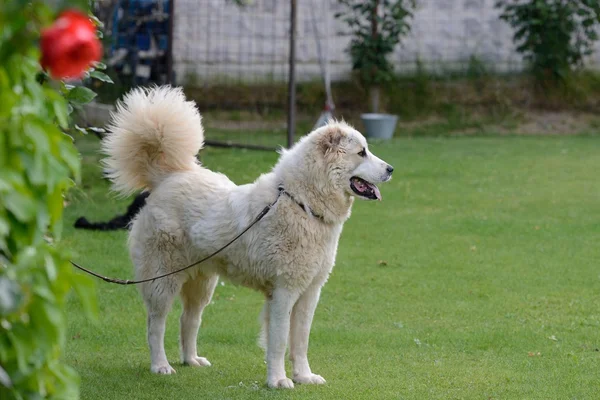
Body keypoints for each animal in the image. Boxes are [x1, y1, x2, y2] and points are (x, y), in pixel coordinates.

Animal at [102, 85, 394, 388]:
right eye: (362, 152)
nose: (391, 170)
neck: (301, 202)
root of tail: (167, 178)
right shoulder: (284, 292)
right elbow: (279, 341)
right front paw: (278, 380)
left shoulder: (309, 292)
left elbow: (300, 340)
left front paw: (304, 376)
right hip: (162, 279)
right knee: (155, 324)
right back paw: (160, 366)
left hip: (202, 283)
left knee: (188, 320)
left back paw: (192, 360)